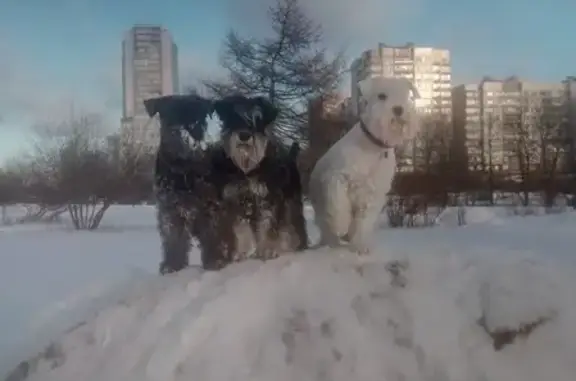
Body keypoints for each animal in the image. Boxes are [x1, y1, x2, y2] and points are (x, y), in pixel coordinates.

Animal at [142, 94, 308, 274]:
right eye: (234, 117)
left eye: (258, 118)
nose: (244, 135)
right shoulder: (172, 211)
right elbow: (173, 239)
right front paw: (171, 265)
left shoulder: (261, 200)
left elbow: (265, 225)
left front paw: (265, 251)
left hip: (291, 204)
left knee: (294, 226)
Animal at [308, 75, 420, 254]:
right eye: (382, 96)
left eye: (405, 95)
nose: (399, 109)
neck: (374, 147)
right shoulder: (337, 177)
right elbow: (339, 204)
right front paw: (341, 225)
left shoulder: (373, 194)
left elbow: (363, 223)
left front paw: (361, 246)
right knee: (327, 227)